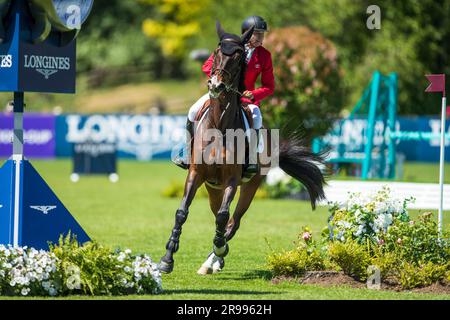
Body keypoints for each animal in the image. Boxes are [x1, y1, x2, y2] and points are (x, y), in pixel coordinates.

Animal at [159, 20, 326, 276]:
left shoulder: (232, 179)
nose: (216, 85)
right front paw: (167, 259)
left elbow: (223, 217)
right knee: (219, 215)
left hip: (250, 186)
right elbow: (182, 212)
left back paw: (216, 255)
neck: (219, 125)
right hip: (212, 187)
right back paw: (213, 259)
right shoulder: (196, 174)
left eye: (239, 57)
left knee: (232, 221)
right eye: (217, 52)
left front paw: (219, 249)